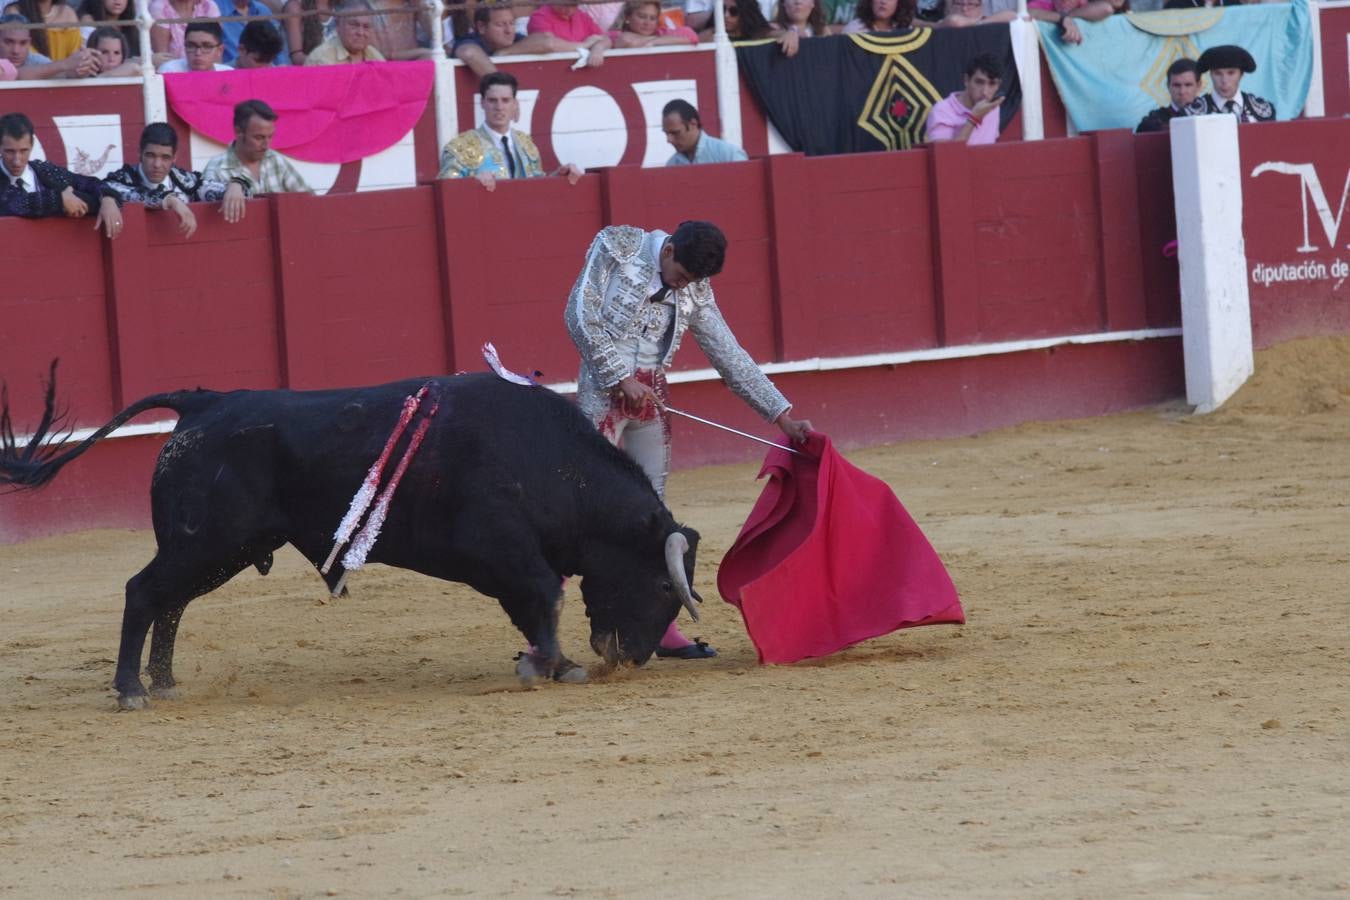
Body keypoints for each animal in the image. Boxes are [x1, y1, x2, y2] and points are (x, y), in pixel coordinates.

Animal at [0, 367, 696, 712]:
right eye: (665, 587)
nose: (631, 658)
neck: (548, 460)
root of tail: (204, 403)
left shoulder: (506, 562)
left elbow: (533, 605)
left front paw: (557, 662)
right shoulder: (499, 547)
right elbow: (543, 594)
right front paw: (545, 665)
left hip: (218, 550)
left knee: (169, 602)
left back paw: (164, 682)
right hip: (202, 543)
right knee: (143, 592)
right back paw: (131, 691)